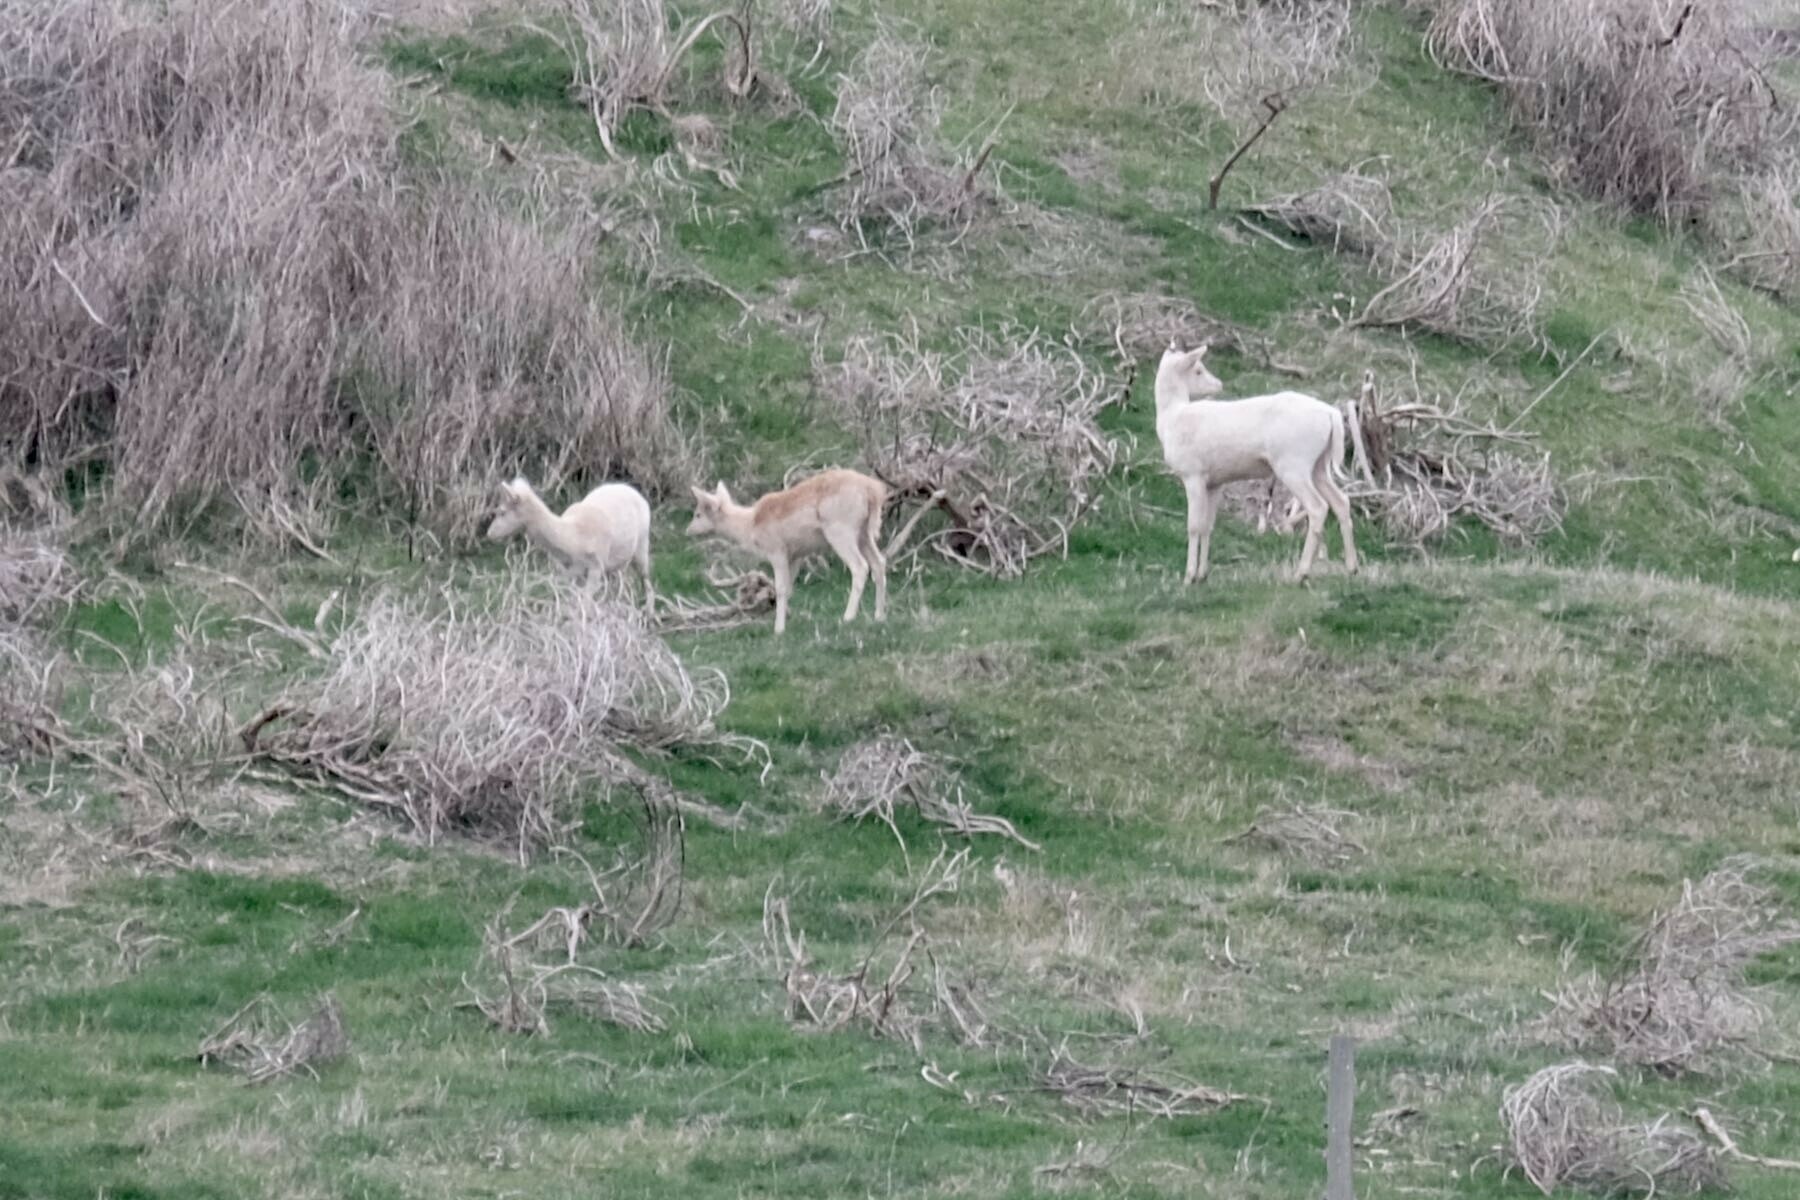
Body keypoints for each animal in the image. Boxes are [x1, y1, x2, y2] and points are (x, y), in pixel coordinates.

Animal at [489, 478, 658, 611]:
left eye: (502, 512)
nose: (489, 534)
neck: (572, 538)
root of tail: (633, 490)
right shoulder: (567, 571)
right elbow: (571, 598)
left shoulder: (596, 567)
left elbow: (585, 602)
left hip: (642, 544)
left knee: (645, 577)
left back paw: (649, 612)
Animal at [684, 467, 889, 636]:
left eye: (698, 514)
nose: (687, 531)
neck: (750, 525)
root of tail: (873, 491)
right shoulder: (796, 555)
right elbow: (789, 588)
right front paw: (787, 621)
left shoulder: (777, 550)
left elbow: (780, 588)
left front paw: (778, 629)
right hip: (864, 533)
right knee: (879, 563)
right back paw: (879, 615)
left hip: (840, 530)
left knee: (860, 566)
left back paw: (848, 617)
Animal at [1159, 345, 1353, 582]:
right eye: (1198, 370)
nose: (1219, 384)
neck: (1171, 419)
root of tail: (1331, 414)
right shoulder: (1214, 482)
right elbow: (1207, 526)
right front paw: (1202, 574)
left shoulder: (1193, 474)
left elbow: (1193, 526)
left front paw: (1188, 577)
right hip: (1319, 465)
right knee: (1341, 501)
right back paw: (1352, 567)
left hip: (1293, 464)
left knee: (1318, 507)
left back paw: (1301, 573)